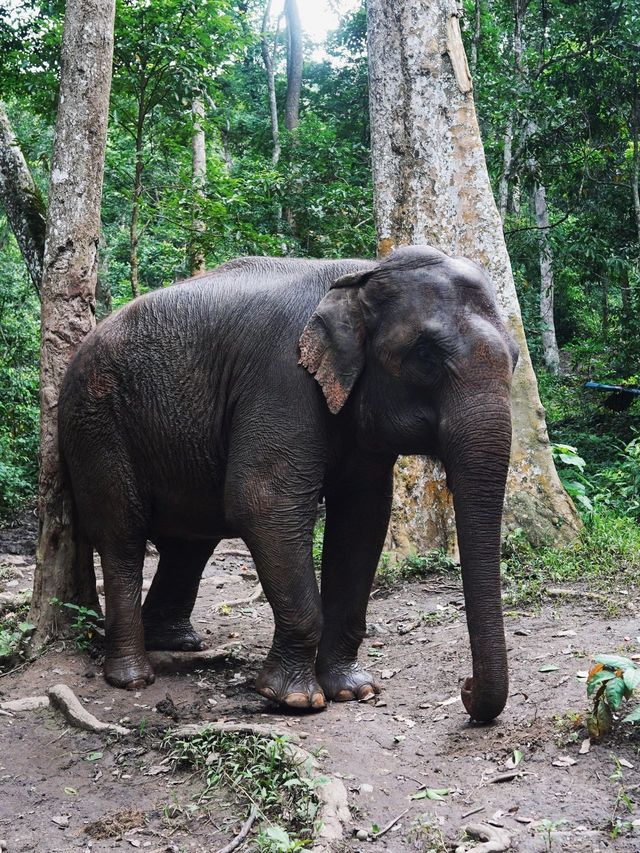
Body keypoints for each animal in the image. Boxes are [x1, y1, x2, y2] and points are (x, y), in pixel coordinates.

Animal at [58, 243, 520, 724]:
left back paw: (178, 643)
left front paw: (354, 691)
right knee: (123, 535)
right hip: (95, 421)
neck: (362, 273)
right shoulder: (280, 378)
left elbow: (362, 519)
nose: (466, 690)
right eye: (426, 357)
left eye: (516, 358)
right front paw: (295, 700)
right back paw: (132, 678)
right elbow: (263, 502)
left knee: (190, 545)